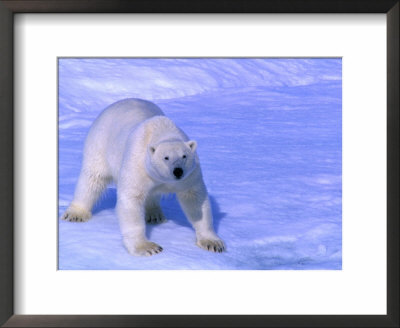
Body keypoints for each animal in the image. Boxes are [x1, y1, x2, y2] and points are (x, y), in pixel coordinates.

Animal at [61, 97, 225, 256]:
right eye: (166, 157)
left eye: (184, 156)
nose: (177, 171)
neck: (162, 131)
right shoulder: (137, 164)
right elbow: (131, 200)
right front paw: (147, 248)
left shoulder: (190, 175)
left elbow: (195, 200)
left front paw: (213, 243)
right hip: (99, 143)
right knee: (92, 179)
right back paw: (76, 213)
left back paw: (154, 214)